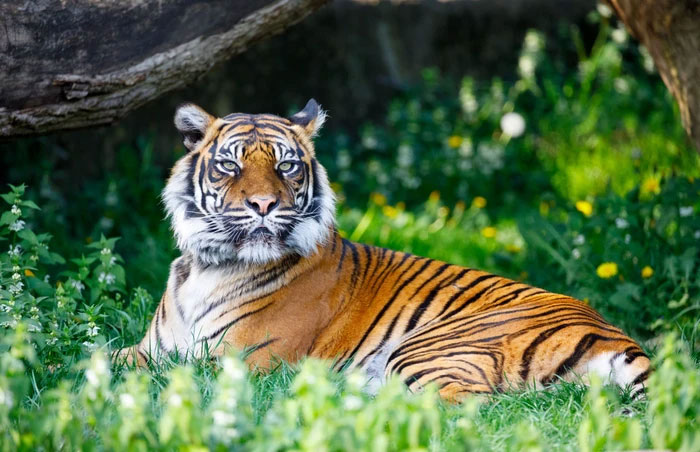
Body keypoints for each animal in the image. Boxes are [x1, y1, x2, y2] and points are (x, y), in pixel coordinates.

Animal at [115, 99, 650, 401]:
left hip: (426, 348)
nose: (264, 204)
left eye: (287, 166)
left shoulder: (242, 360)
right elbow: (103, 354)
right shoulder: (151, 348)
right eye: (231, 165)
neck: (211, 264)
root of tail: (616, 336)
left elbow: (170, 374)